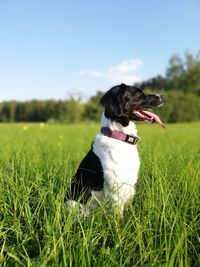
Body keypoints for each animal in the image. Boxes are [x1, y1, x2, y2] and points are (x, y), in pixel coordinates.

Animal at [66, 82, 165, 217]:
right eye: (138, 94)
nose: (163, 97)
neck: (119, 137)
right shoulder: (116, 189)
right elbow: (119, 218)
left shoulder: (129, 185)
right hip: (73, 203)